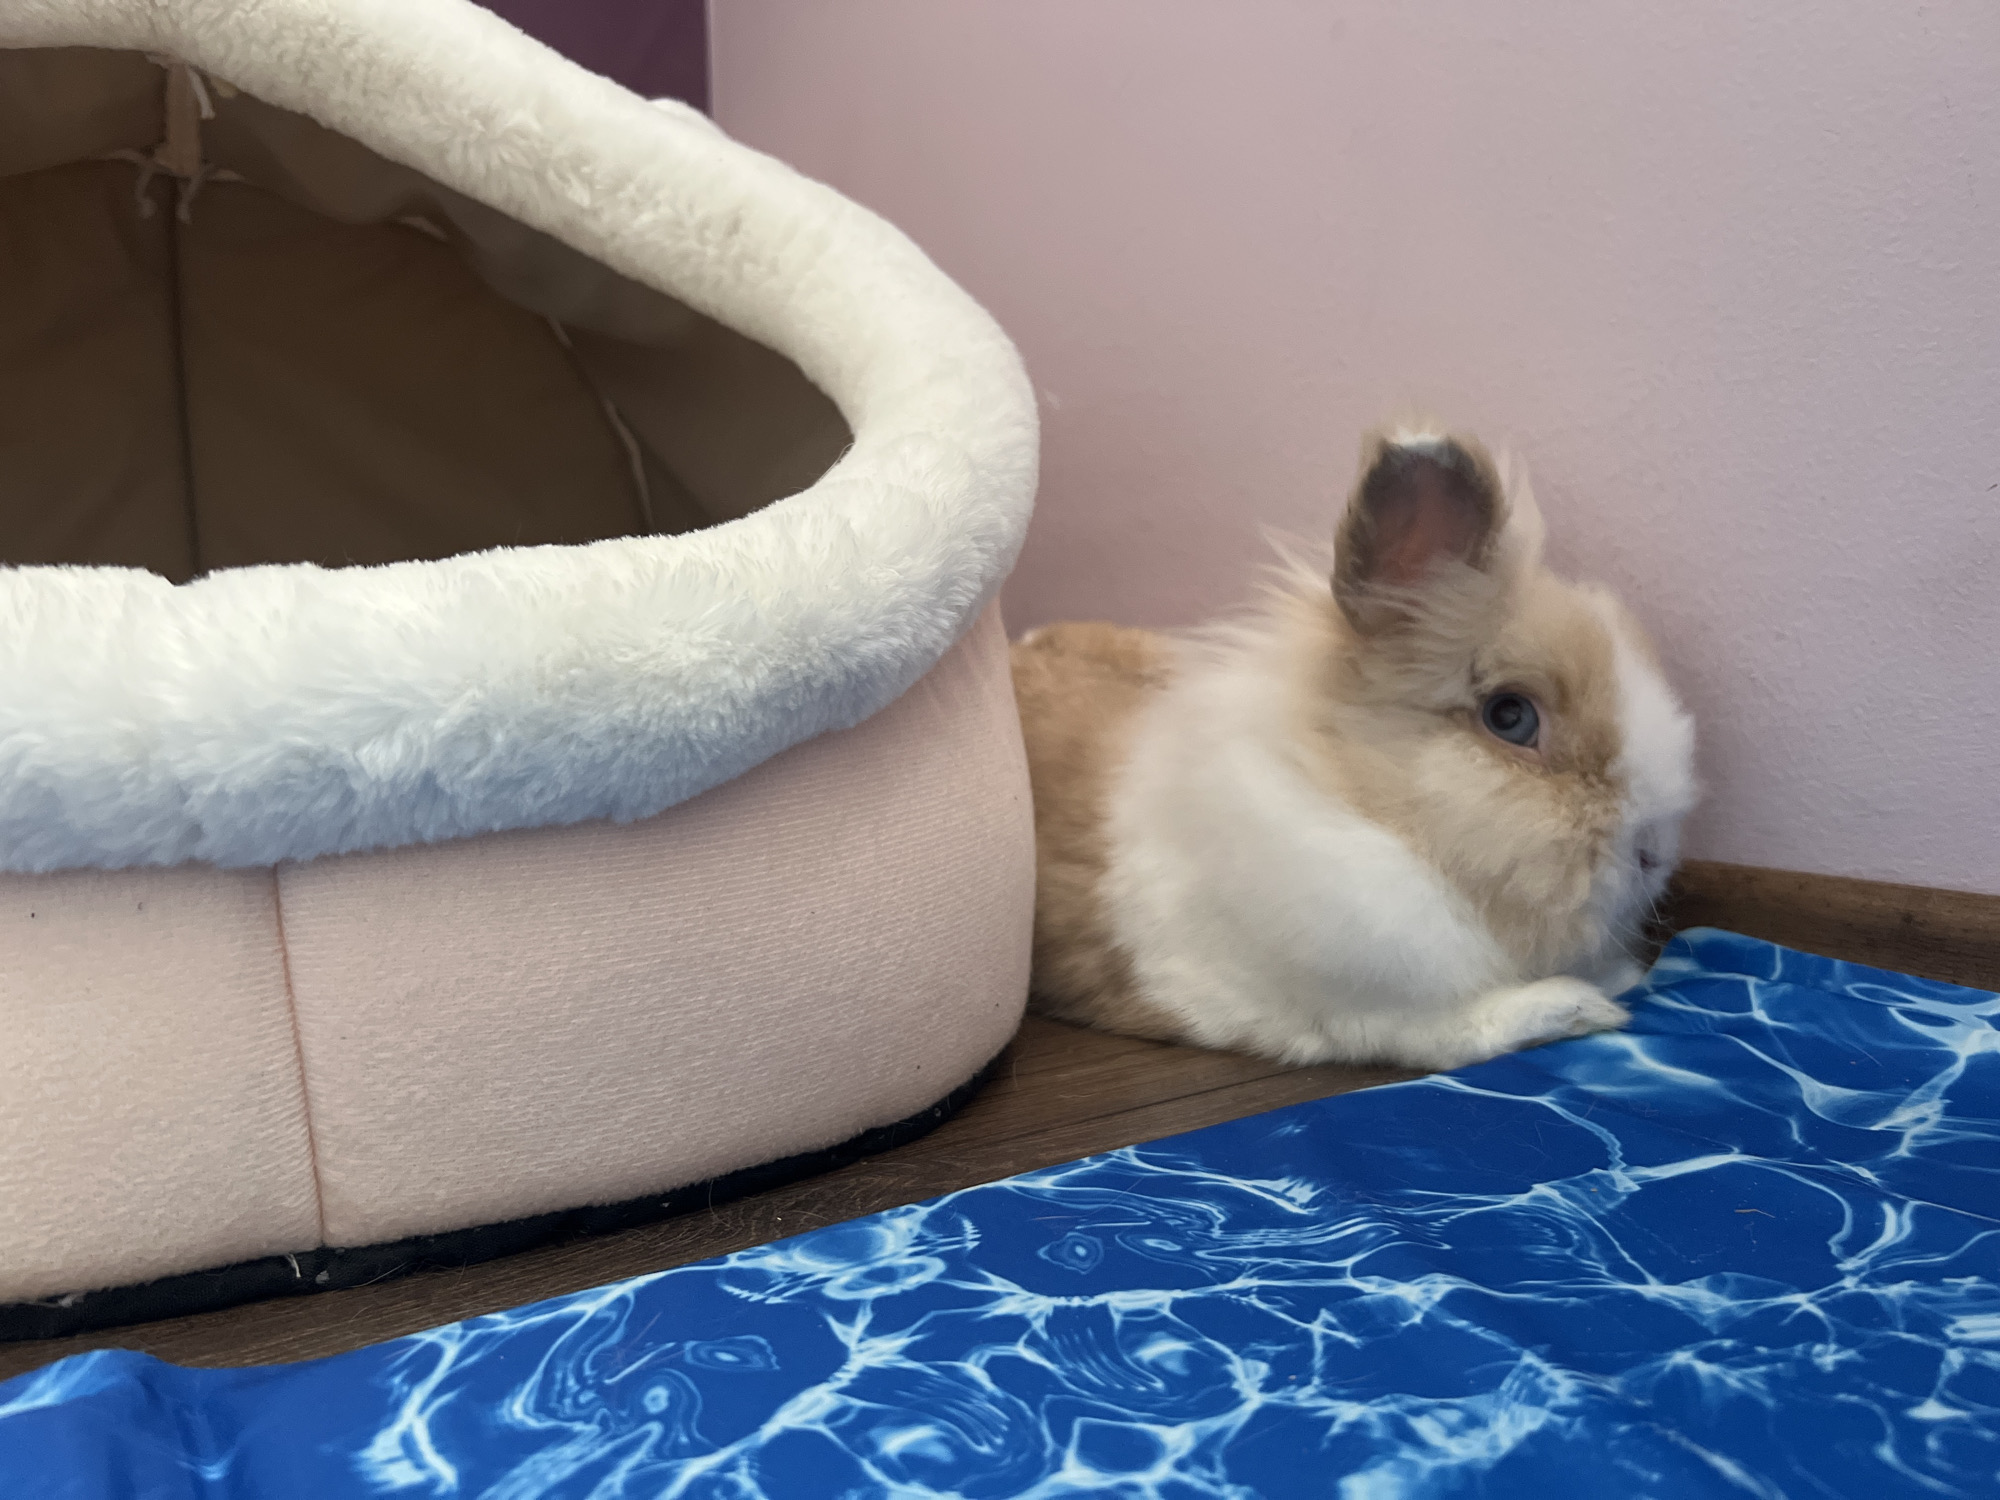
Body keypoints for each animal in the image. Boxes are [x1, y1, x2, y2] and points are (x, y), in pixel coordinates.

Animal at [1011, 425, 1698, 1071]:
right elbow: (1457, 1031)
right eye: (1510, 716)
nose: (1653, 854)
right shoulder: (1362, 1010)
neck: (1354, 807)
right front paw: (1583, 1005)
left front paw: (1617, 976)